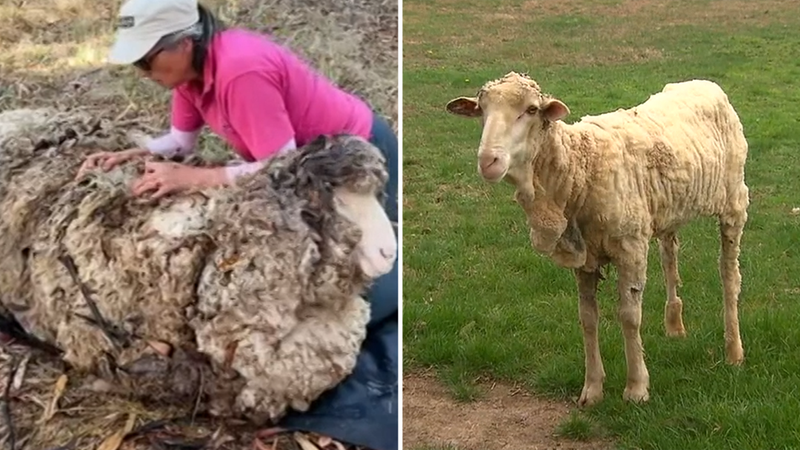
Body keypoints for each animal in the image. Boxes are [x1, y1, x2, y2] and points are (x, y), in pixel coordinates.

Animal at [445, 72, 749, 406]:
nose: (488, 161)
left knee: (729, 275)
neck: (580, 166)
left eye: (531, 110)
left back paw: (734, 350)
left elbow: (629, 317)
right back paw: (674, 326)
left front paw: (636, 389)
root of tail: (704, 83)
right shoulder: (585, 257)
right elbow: (587, 318)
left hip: (734, 200)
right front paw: (592, 389)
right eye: (482, 110)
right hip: (667, 211)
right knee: (670, 256)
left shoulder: (630, 248)